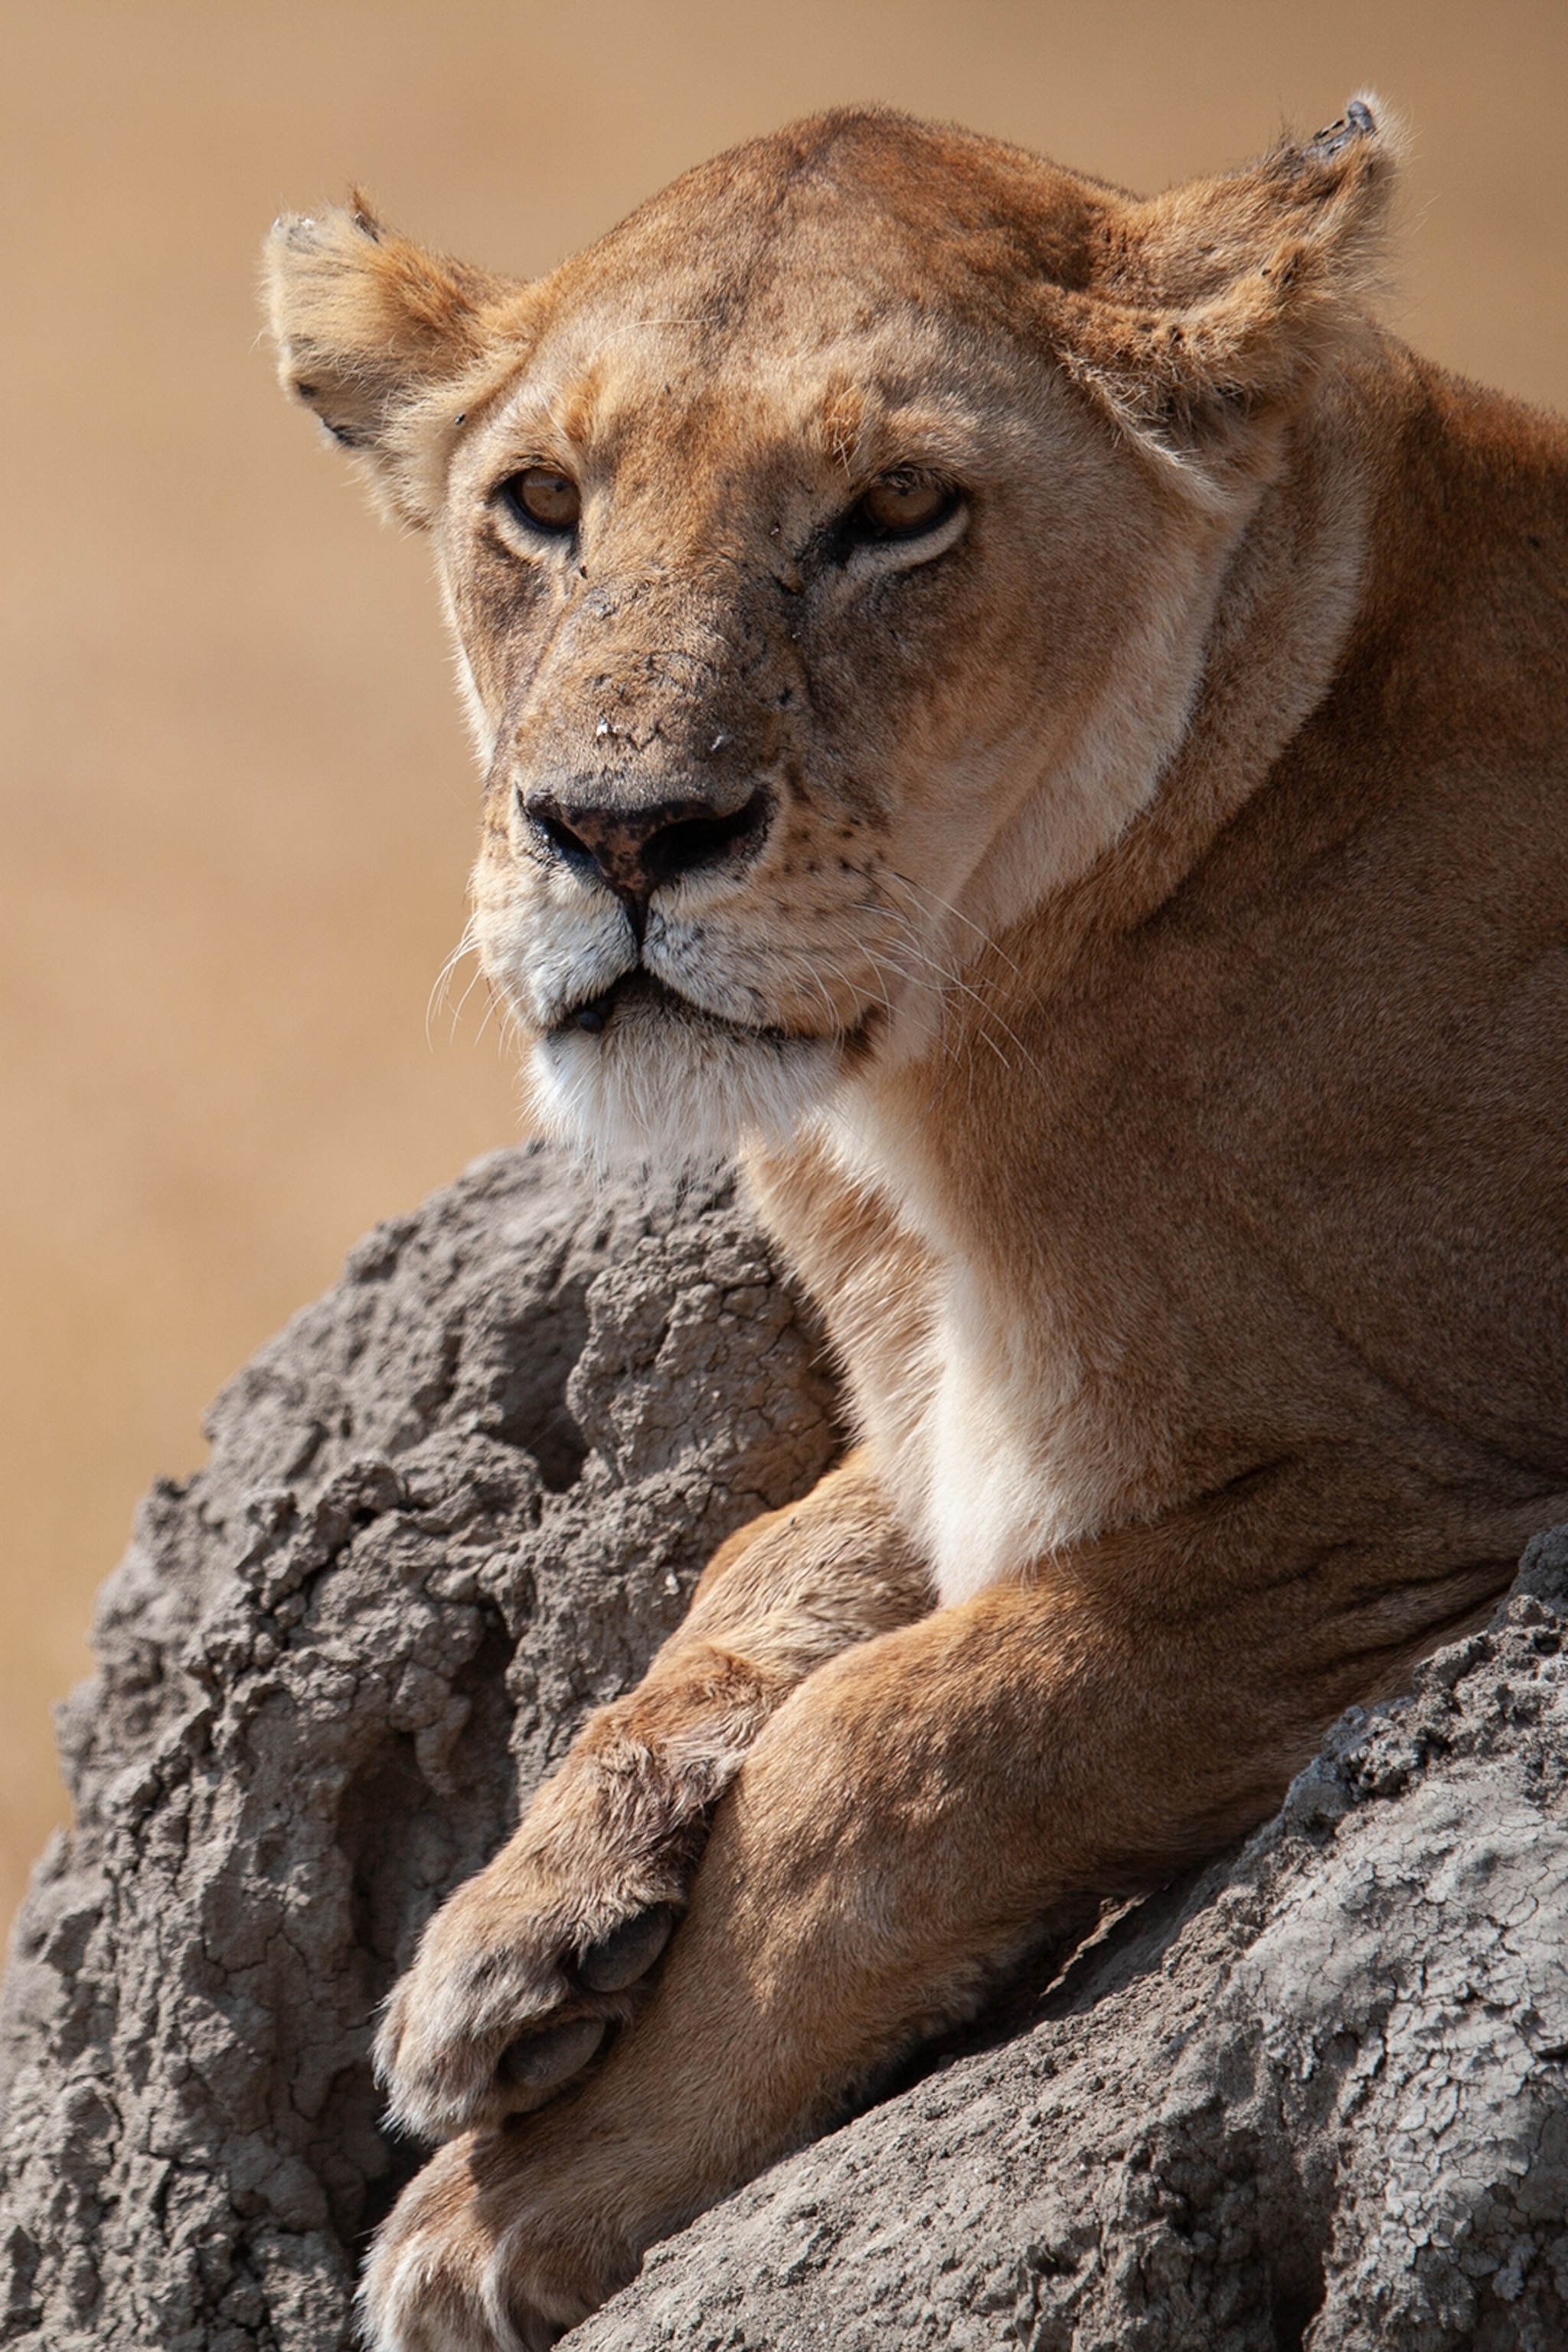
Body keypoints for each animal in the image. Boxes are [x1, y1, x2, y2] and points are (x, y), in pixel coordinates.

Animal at [265, 100, 1568, 2348]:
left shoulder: (1438, 1489)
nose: (618, 833)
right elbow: (764, 1568)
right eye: (541, 502)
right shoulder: (943, 1408)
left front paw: (509, 2206)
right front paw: (508, 1943)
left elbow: (917, 1733)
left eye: (897, 507)